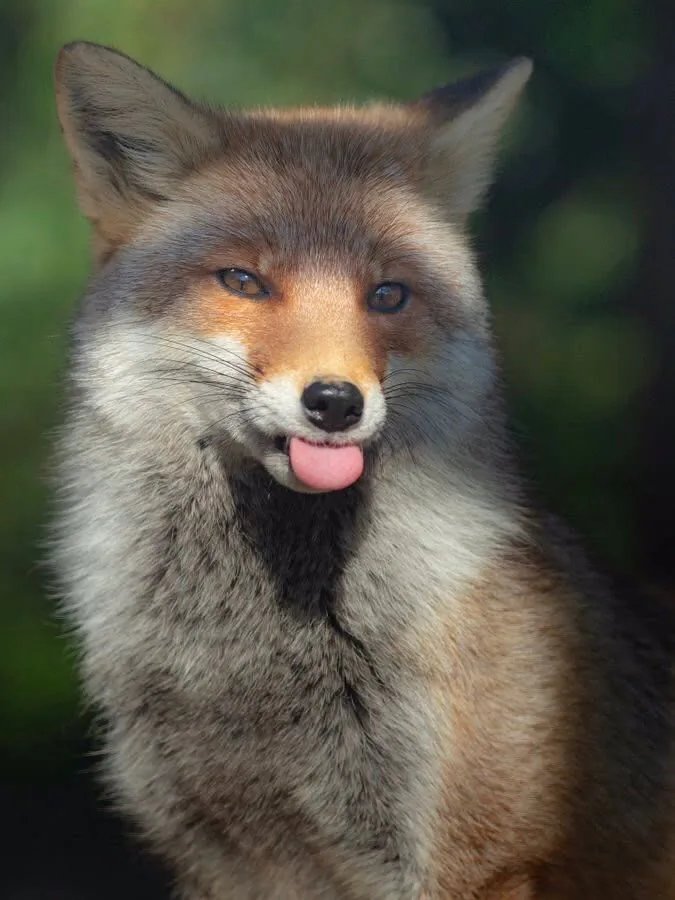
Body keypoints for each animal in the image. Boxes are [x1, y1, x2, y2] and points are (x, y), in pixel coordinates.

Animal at [51, 40, 675, 899]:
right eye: (243, 281)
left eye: (387, 295)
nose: (335, 403)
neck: (253, 656)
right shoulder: (214, 856)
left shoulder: (474, 856)